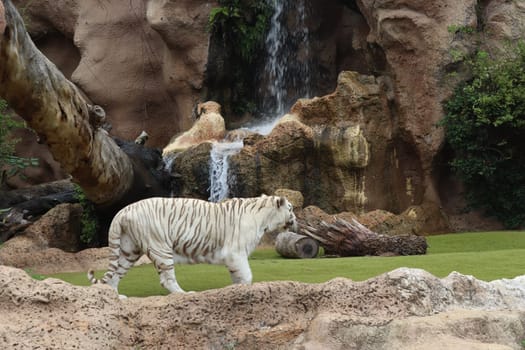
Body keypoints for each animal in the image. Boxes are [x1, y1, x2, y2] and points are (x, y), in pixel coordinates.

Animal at [88, 194, 296, 296]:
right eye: (291, 208)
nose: (295, 219)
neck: (264, 218)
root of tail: (123, 210)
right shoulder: (235, 253)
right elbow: (246, 275)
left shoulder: (234, 258)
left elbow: (238, 277)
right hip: (160, 247)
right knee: (167, 279)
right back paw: (184, 294)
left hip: (128, 250)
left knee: (115, 275)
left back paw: (116, 298)